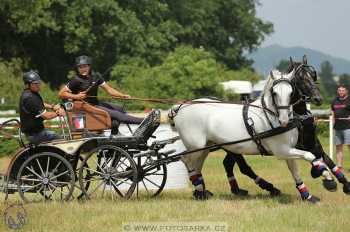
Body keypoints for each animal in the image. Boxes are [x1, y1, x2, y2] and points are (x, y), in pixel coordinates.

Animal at [169, 69, 330, 203]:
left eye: (291, 92)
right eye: (275, 93)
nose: (318, 99)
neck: (270, 116)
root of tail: (179, 108)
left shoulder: (289, 150)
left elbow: (296, 170)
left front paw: (308, 195)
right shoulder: (281, 151)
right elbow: (309, 155)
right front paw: (328, 178)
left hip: (205, 147)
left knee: (196, 166)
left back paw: (201, 191)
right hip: (196, 146)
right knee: (186, 160)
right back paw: (200, 191)